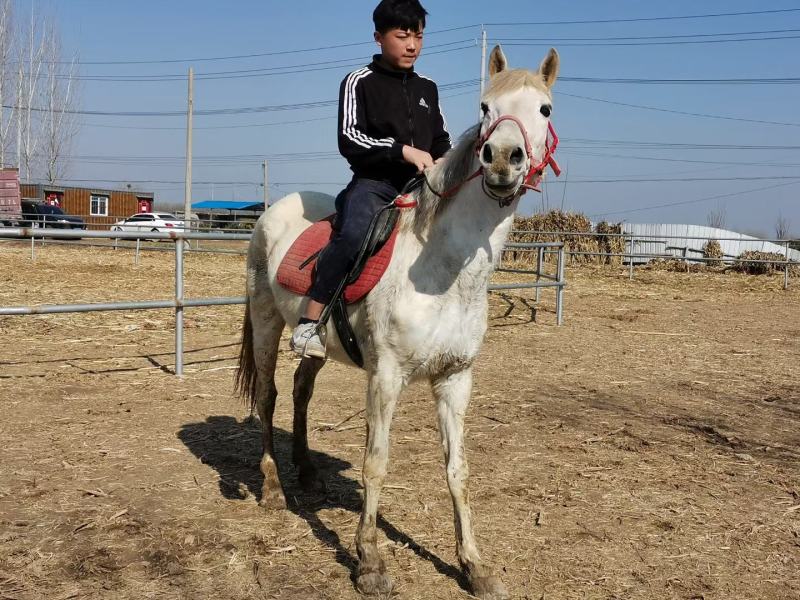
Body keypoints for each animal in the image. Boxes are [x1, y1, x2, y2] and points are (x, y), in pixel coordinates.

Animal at [236, 45, 560, 599]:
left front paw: (474, 565)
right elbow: (376, 463)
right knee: (269, 396)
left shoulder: (455, 379)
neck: (443, 270)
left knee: (301, 391)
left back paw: (307, 472)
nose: (501, 159)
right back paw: (274, 488)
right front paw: (369, 562)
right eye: (485, 107)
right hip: (265, 322)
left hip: (319, 346)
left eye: (544, 109)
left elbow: (457, 470)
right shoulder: (385, 377)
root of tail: (273, 212)